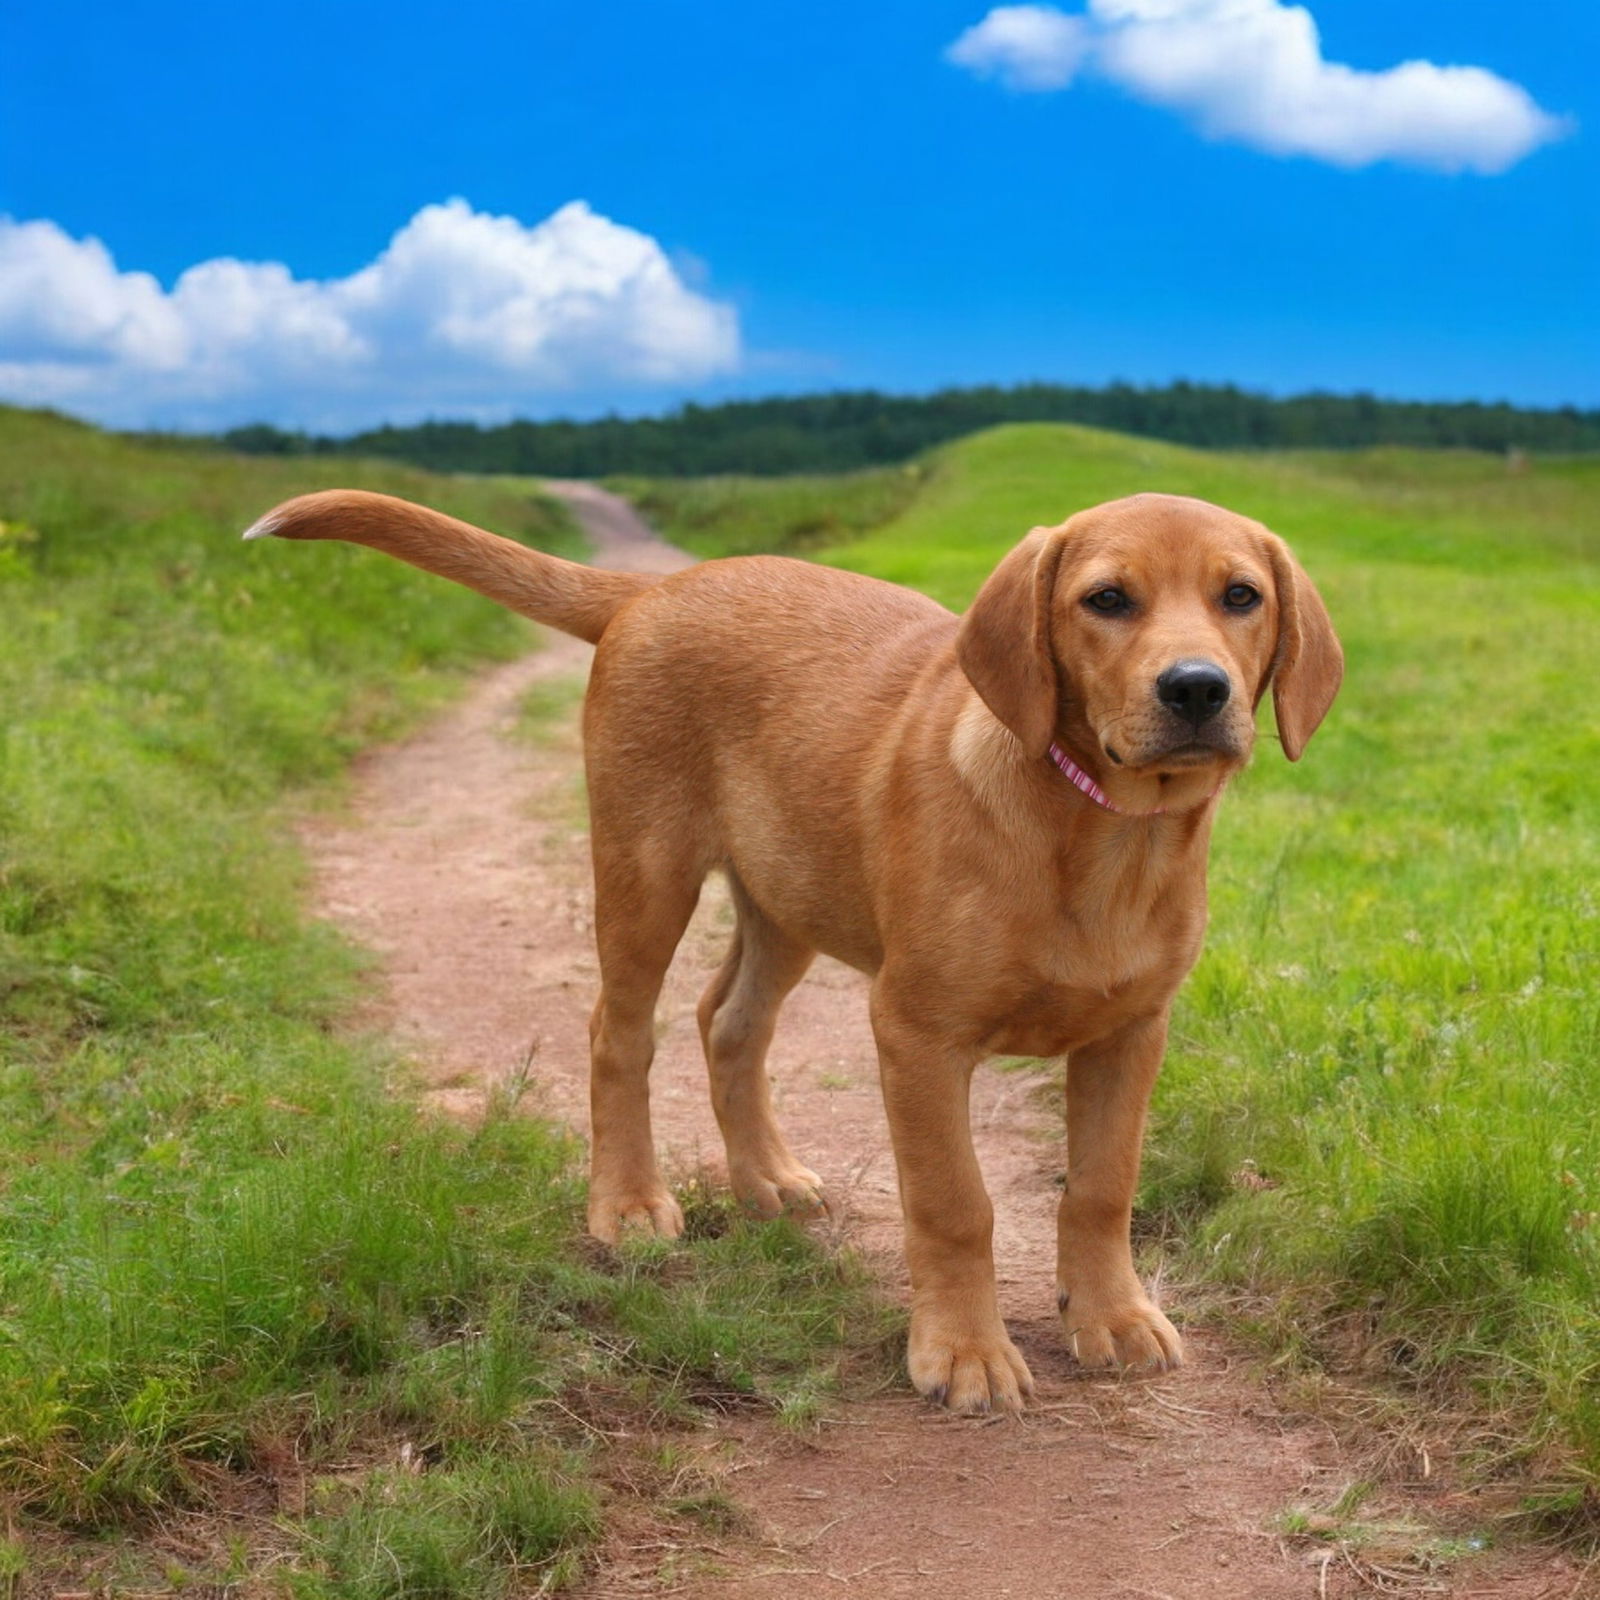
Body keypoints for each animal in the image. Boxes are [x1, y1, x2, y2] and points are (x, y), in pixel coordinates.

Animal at [243, 486, 1337, 1414]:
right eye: (1105, 600)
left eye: (1240, 596)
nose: (1195, 689)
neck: (1102, 835)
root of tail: (653, 588)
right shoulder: (916, 1032)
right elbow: (956, 1204)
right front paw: (965, 1352)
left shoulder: (1131, 1031)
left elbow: (1104, 1188)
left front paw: (1112, 1315)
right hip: (646, 869)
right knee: (618, 1031)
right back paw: (629, 1202)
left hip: (789, 895)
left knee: (727, 1020)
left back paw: (764, 1177)